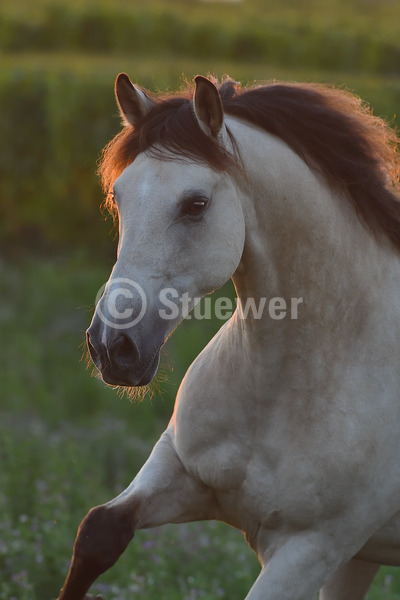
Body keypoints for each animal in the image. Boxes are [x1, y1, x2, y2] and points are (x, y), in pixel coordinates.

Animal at [56, 72, 400, 596]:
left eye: (196, 204)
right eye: (118, 196)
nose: (111, 347)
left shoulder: (311, 549)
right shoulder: (176, 469)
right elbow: (97, 533)